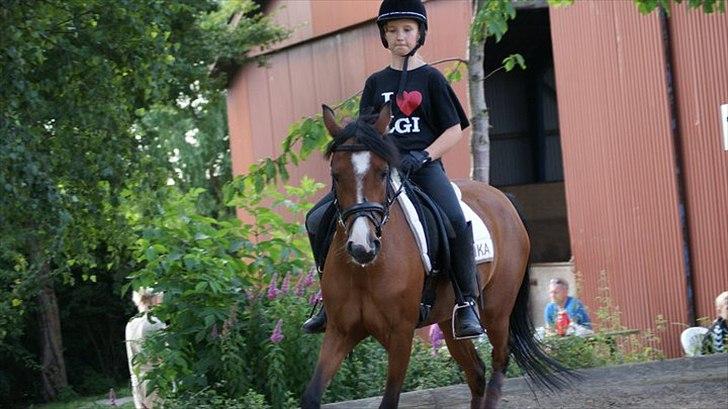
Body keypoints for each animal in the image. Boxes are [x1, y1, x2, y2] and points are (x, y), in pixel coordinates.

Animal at [301, 104, 572, 409]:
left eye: (382, 173)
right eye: (336, 175)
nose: (363, 247)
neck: (367, 270)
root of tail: (503, 198)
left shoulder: (401, 334)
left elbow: (389, 400)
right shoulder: (341, 331)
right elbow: (311, 396)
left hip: (497, 309)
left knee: (500, 359)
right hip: (447, 318)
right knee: (476, 372)